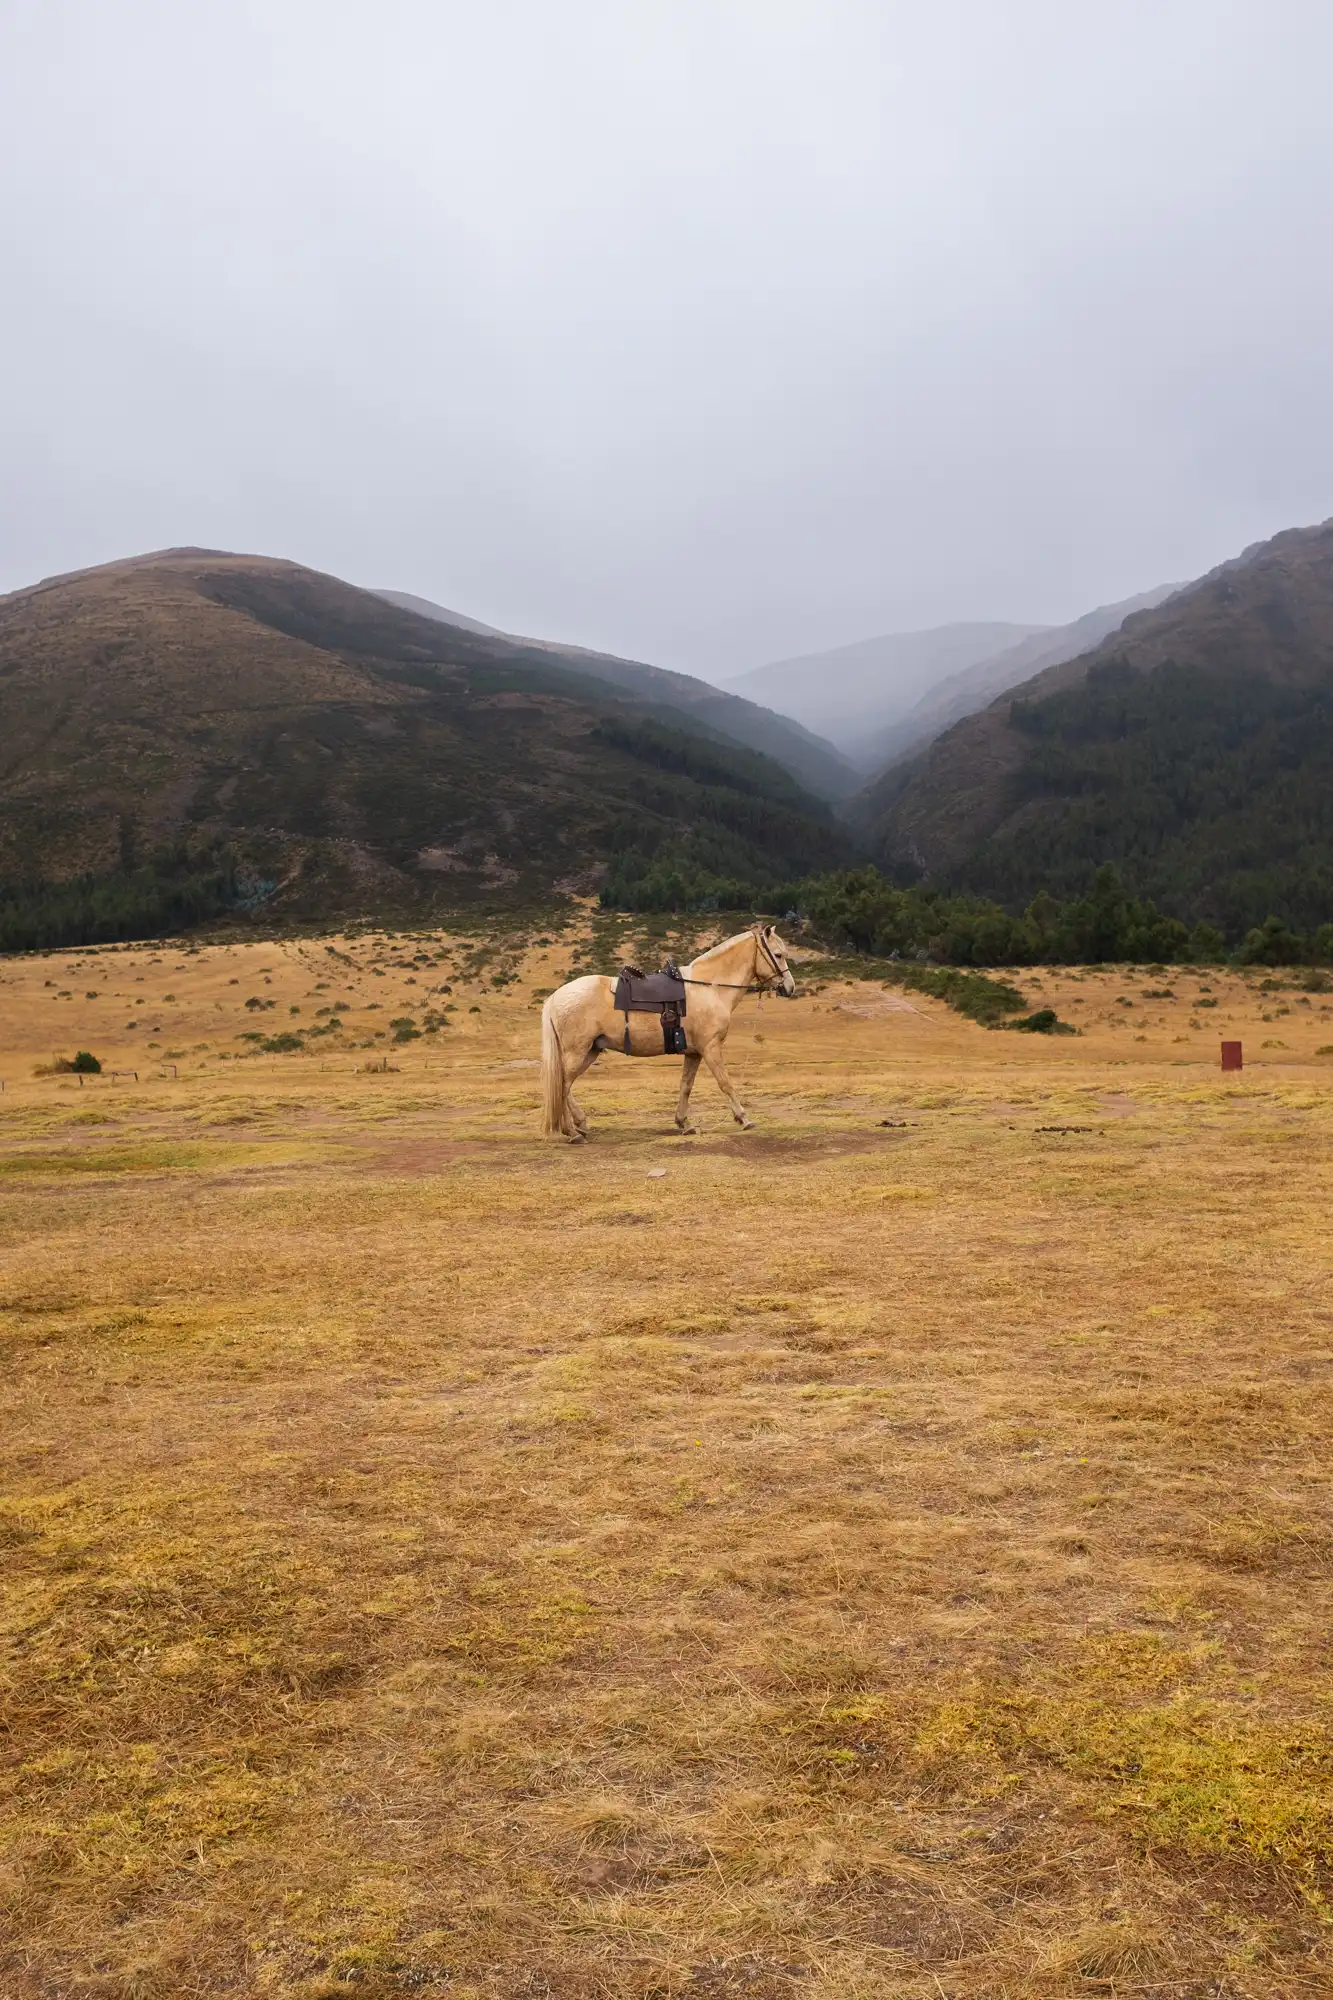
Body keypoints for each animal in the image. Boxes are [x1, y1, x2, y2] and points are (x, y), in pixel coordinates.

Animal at [536, 920, 792, 1144]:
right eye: (778, 955)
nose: (789, 988)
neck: (709, 987)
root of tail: (555, 997)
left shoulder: (694, 1052)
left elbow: (686, 1086)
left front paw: (684, 1123)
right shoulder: (710, 1047)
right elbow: (725, 1083)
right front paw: (744, 1118)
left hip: (590, 1051)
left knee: (566, 1087)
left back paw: (580, 1125)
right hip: (577, 1052)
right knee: (563, 1086)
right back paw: (572, 1132)